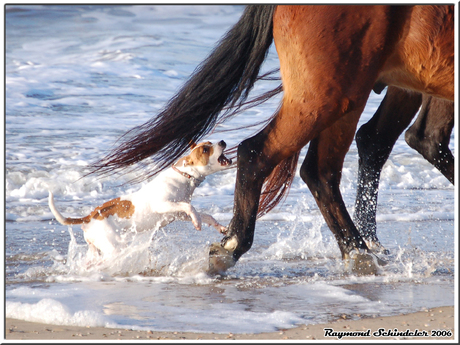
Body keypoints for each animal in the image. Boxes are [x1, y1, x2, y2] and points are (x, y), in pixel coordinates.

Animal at [49, 140, 234, 258]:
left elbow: (205, 215)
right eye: (205, 150)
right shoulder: (164, 205)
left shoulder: (177, 213)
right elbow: (191, 208)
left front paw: (220, 227)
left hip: (96, 247)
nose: (222, 141)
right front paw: (197, 222)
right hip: (113, 245)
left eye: (210, 142)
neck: (184, 176)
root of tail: (89, 216)